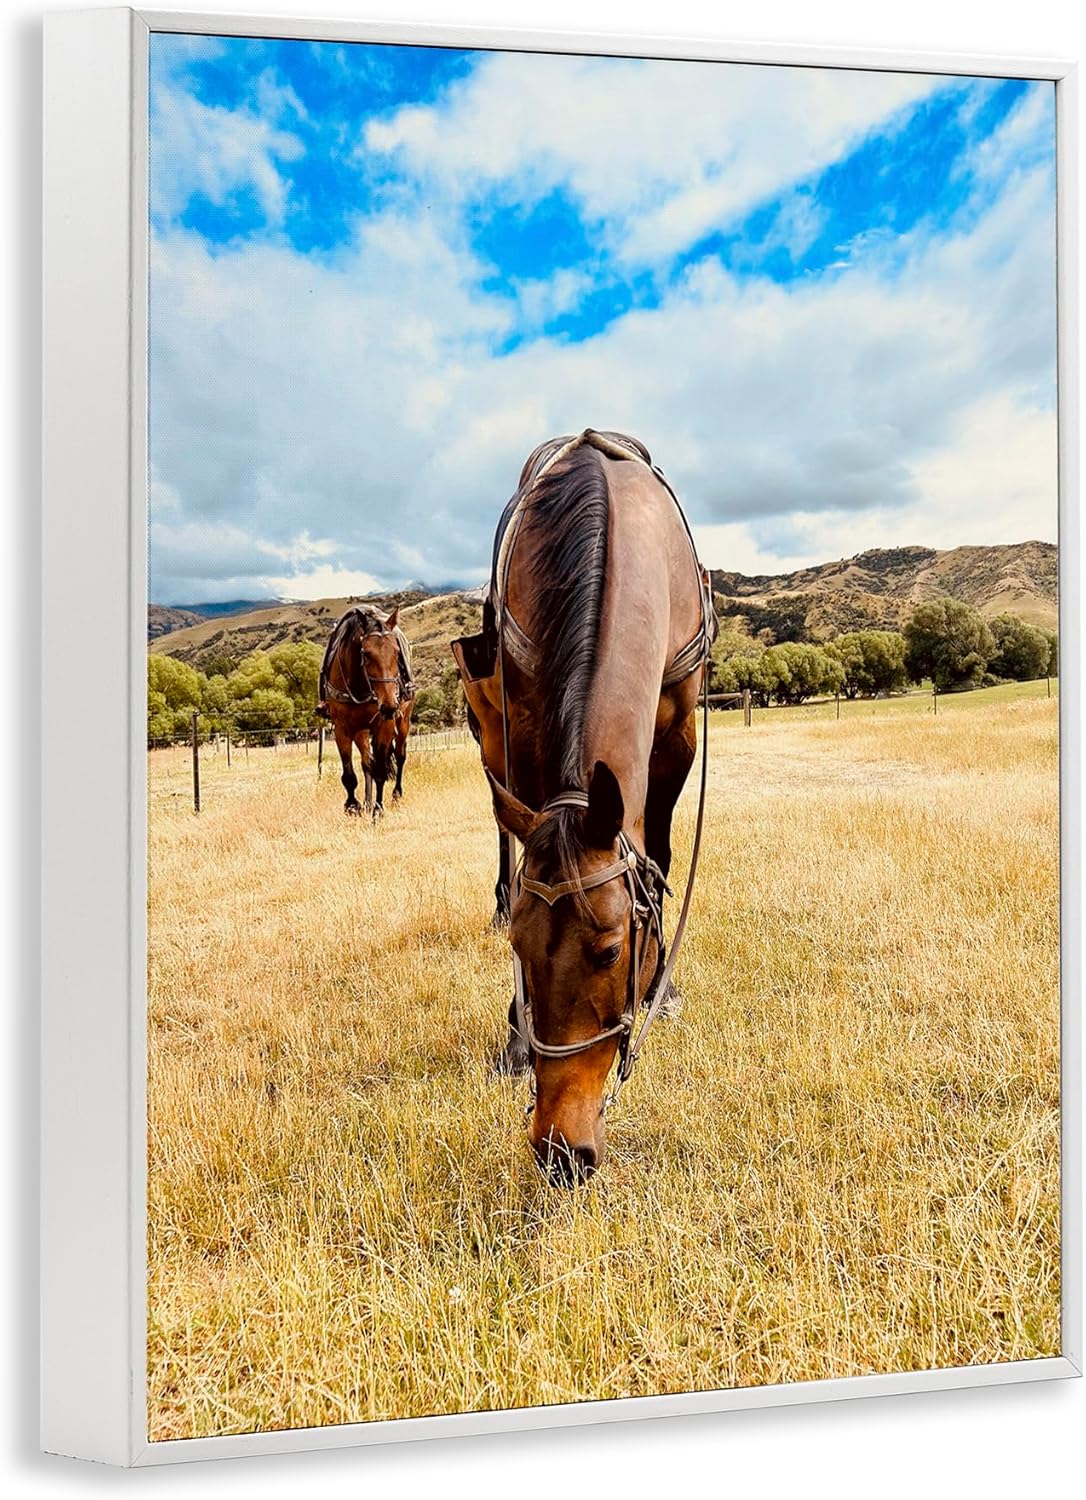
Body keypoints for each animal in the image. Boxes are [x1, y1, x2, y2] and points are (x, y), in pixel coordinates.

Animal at [317, 606, 413, 818]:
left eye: (396, 653)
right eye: (366, 653)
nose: (389, 705)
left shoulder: (385, 725)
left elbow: (380, 770)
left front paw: (378, 810)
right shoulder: (342, 729)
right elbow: (350, 774)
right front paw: (353, 806)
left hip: (403, 722)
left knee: (400, 756)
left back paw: (396, 795)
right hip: (361, 731)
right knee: (366, 762)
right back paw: (368, 801)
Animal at [451, 429, 715, 1184]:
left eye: (610, 951)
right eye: (520, 947)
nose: (560, 1153)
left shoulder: (677, 729)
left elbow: (659, 852)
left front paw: (665, 988)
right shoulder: (526, 720)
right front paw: (516, 1035)